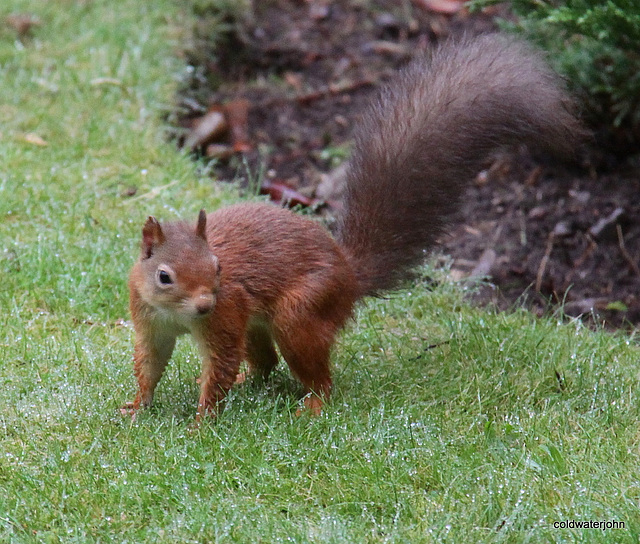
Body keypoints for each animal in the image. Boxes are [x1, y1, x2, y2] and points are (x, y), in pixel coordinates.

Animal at [121, 34, 584, 418]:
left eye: (218, 267)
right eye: (164, 276)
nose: (204, 305)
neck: (177, 314)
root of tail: (349, 276)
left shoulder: (225, 314)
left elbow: (217, 369)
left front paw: (202, 423)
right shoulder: (151, 322)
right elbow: (151, 364)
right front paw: (137, 407)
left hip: (300, 312)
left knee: (317, 375)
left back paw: (311, 405)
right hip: (256, 322)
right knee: (265, 362)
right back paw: (251, 384)